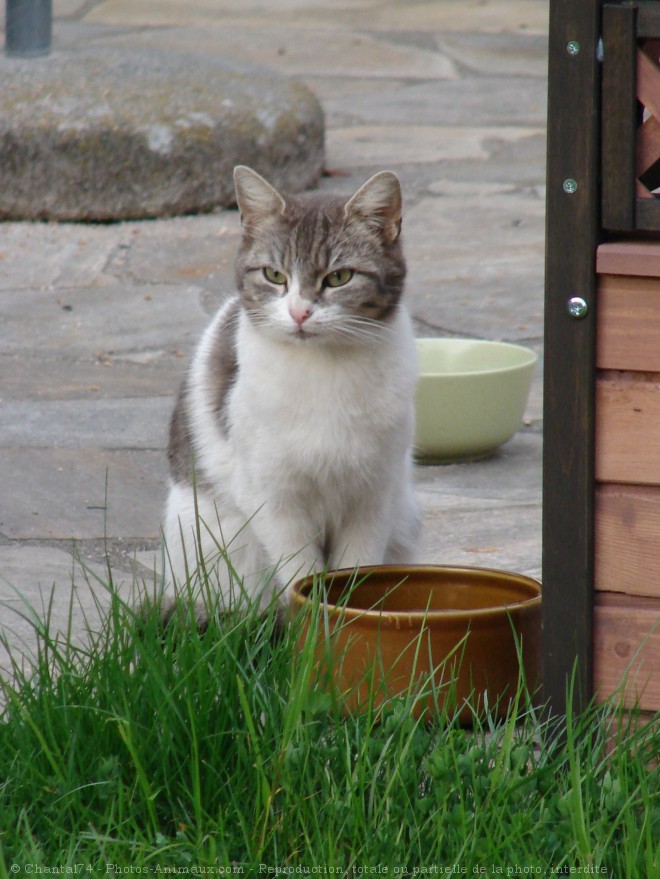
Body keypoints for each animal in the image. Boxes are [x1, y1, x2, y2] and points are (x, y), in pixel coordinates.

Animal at [163, 163, 420, 612]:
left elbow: (358, 568)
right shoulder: (276, 502)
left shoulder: (373, 497)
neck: (326, 370)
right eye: (274, 275)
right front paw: (315, 620)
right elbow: (301, 572)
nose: (300, 312)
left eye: (339, 277)